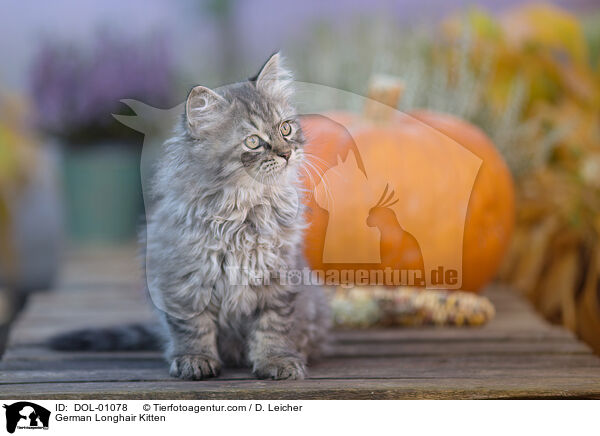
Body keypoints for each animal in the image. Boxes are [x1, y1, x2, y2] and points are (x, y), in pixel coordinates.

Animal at [49, 54, 330, 380]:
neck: (244, 211)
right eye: (253, 142)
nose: (287, 153)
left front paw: (277, 360)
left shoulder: (280, 276)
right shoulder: (182, 279)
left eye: (285, 129)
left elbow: (273, 325)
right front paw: (196, 360)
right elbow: (193, 327)